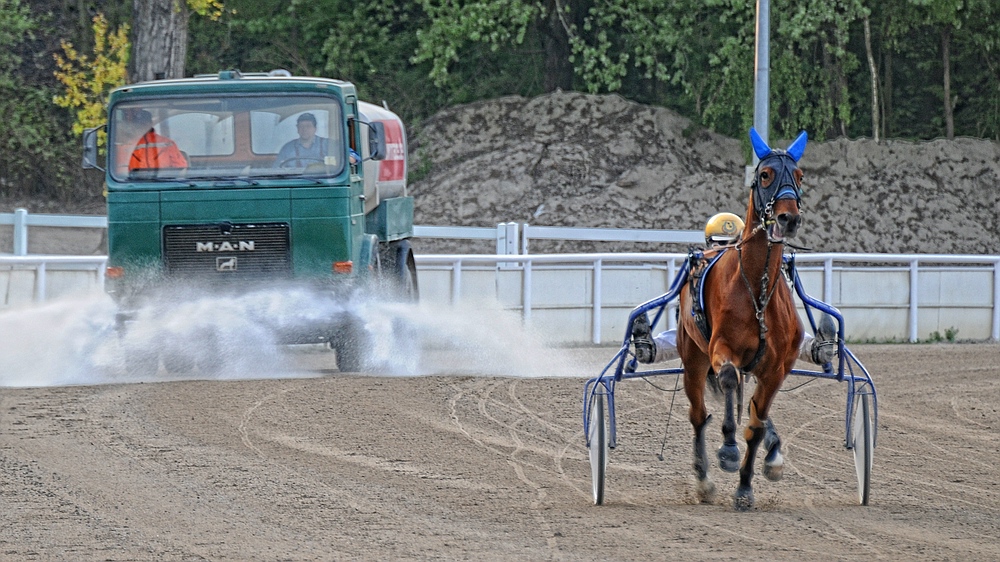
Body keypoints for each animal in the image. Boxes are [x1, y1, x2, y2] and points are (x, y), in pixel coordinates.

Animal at [676, 129, 808, 510]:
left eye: (799, 176)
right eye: (765, 174)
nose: (788, 218)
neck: (756, 290)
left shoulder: (776, 368)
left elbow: (757, 423)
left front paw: (746, 487)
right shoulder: (722, 349)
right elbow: (729, 380)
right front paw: (729, 450)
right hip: (693, 357)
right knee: (698, 414)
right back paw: (703, 480)